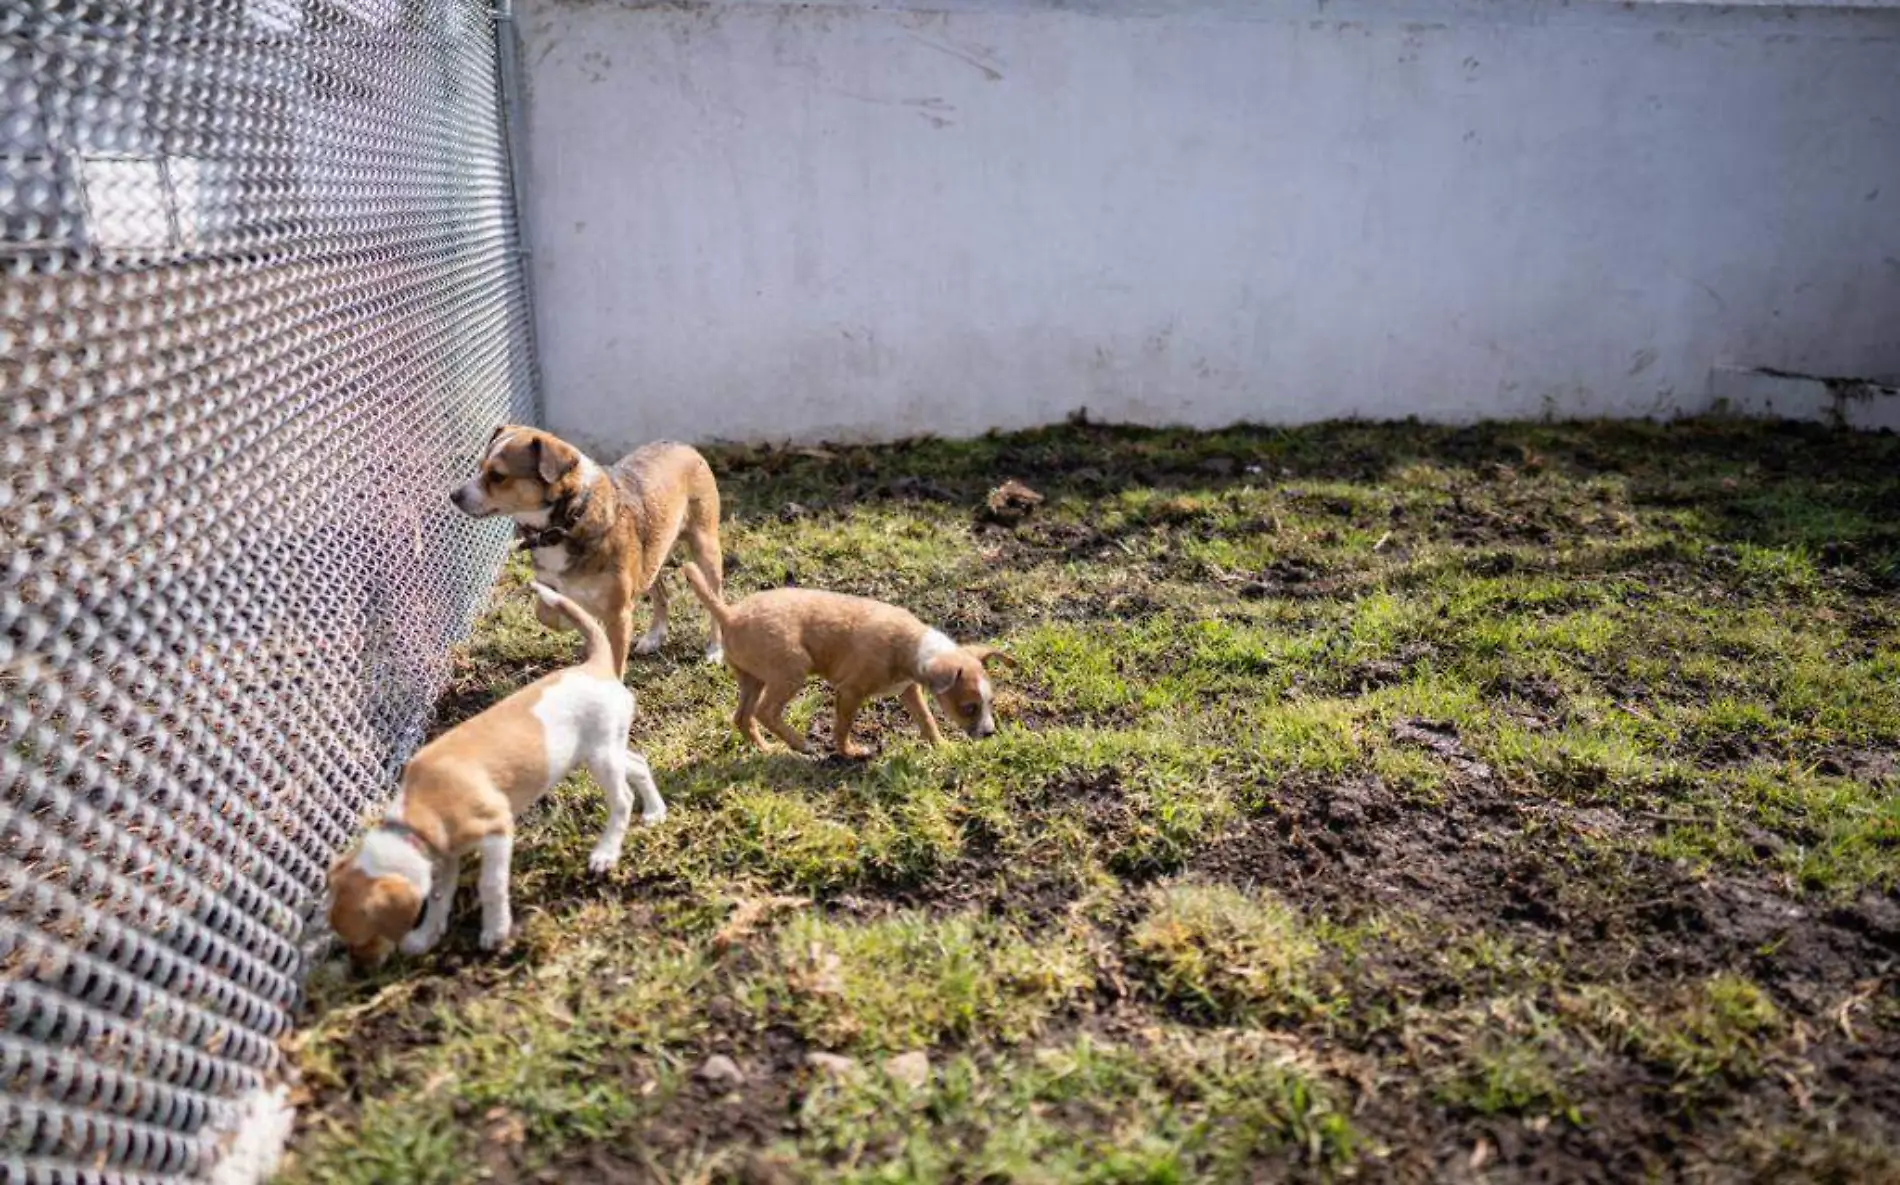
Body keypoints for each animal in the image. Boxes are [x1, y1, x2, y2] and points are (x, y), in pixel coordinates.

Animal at [321, 577, 661, 968]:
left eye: (364, 937)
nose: (361, 971)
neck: (415, 818)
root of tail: (594, 665)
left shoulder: (497, 832)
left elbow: (491, 886)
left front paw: (495, 931)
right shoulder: (447, 855)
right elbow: (438, 897)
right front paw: (427, 936)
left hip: (602, 756)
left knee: (622, 799)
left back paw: (605, 853)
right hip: (602, 751)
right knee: (638, 765)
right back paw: (656, 811)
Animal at [680, 565, 1018, 759]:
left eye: (990, 703)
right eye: (969, 708)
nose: (989, 734)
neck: (912, 647)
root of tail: (729, 614)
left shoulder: (909, 690)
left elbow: (927, 720)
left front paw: (942, 746)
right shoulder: (849, 693)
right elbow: (842, 728)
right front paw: (850, 753)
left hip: (753, 679)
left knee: (743, 717)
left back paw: (766, 749)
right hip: (792, 670)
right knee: (766, 712)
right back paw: (801, 744)